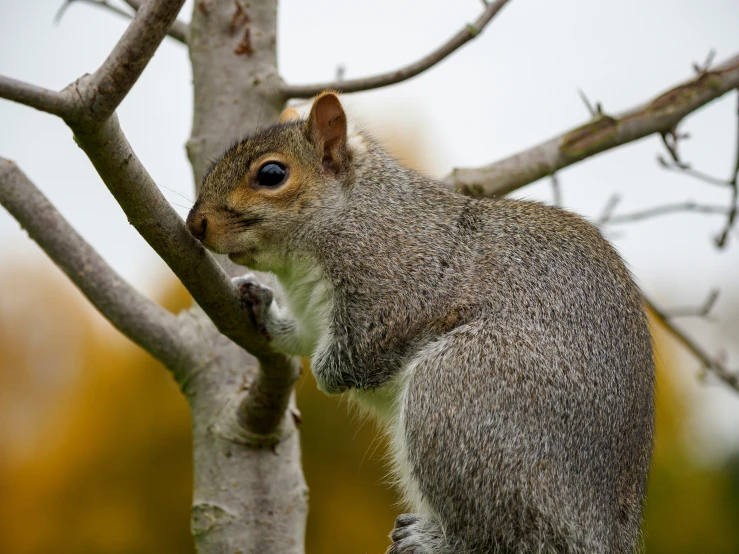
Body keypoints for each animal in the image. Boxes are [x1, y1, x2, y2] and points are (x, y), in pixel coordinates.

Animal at [188, 92, 656, 548]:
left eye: (271, 174)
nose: (196, 225)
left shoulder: (400, 286)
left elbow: (362, 352)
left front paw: (329, 377)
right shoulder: (312, 315)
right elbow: (300, 337)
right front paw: (258, 302)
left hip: (463, 394)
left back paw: (436, 541)